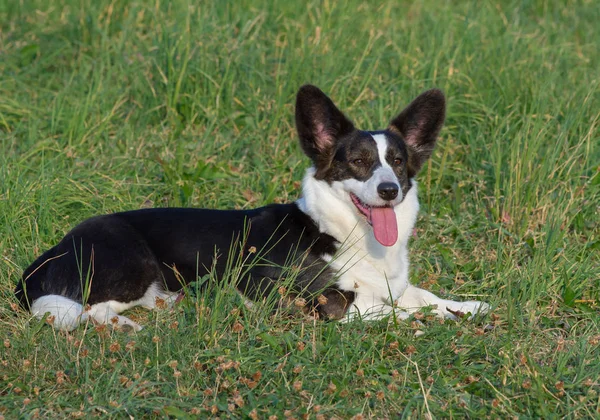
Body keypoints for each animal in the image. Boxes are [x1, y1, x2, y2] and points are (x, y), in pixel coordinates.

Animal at [15, 85, 488, 332]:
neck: (342, 232)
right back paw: (124, 327)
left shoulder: (391, 284)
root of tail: (49, 254)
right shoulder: (319, 303)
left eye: (399, 162)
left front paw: (466, 307)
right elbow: (393, 309)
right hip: (133, 264)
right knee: (86, 309)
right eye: (358, 161)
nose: (389, 190)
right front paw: (419, 322)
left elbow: (422, 295)